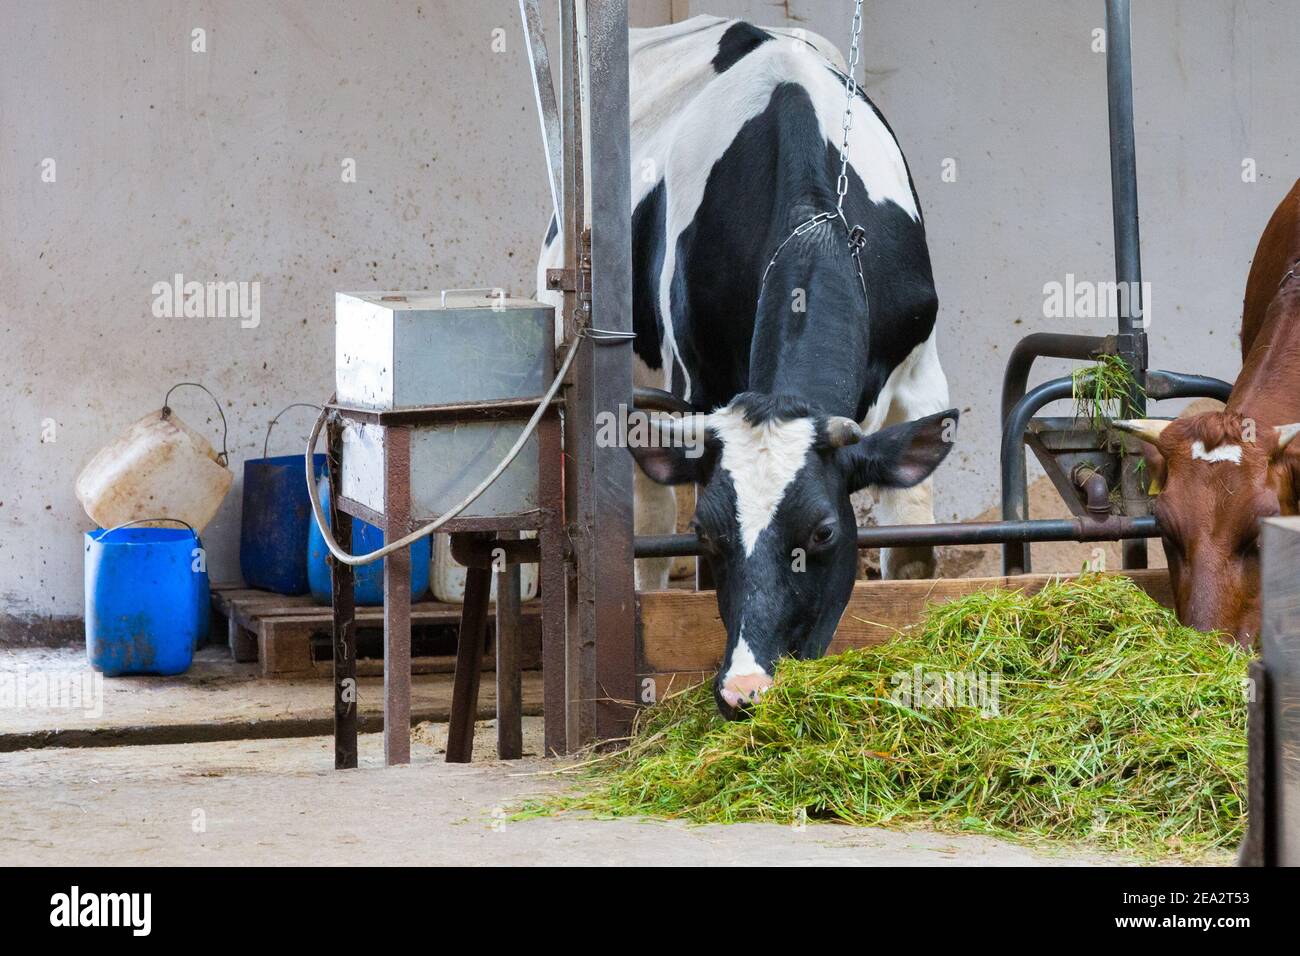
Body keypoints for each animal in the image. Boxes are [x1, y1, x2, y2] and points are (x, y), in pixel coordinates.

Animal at [538, 16, 956, 717]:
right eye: (707, 533)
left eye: (823, 532)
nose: (746, 688)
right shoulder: (697, 388)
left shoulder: (922, 375)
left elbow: (912, 556)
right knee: (647, 530)